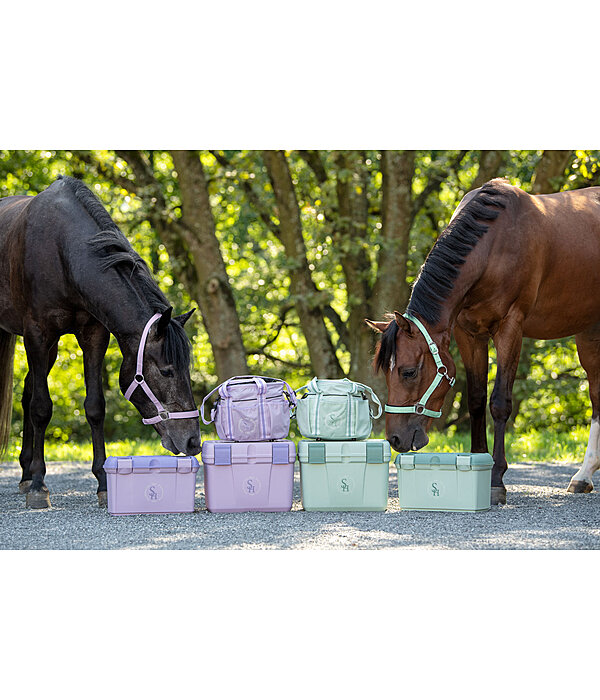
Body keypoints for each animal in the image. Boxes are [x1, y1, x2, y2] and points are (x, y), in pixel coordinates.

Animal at [0, 175, 201, 509]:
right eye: (167, 371)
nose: (194, 441)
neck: (63, 251)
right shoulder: (38, 335)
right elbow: (42, 408)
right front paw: (40, 486)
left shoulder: (94, 336)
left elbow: (94, 407)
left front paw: (103, 483)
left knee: (28, 391)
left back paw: (25, 473)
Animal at [367, 178, 600, 505]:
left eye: (408, 372)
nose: (395, 438)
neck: (493, 246)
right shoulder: (469, 334)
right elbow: (476, 400)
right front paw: (477, 461)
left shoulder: (510, 329)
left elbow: (500, 402)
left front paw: (496, 480)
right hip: (589, 333)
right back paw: (584, 475)